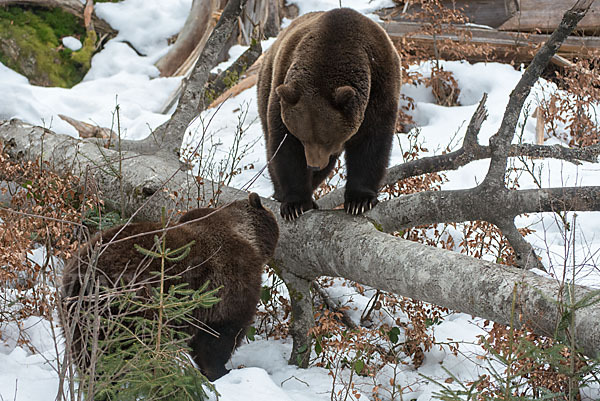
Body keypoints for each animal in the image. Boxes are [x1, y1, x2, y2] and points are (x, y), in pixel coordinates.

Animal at [59, 193, 280, 382]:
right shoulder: (229, 282)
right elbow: (219, 336)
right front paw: (220, 371)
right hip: (135, 307)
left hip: (79, 317)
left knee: (89, 358)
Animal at [256, 7, 400, 219]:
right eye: (303, 138)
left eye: (327, 140)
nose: (313, 165)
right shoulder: (283, 88)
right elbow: (285, 147)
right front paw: (295, 204)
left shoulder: (380, 87)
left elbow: (371, 143)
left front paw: (359, 201)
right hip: (266, 84)